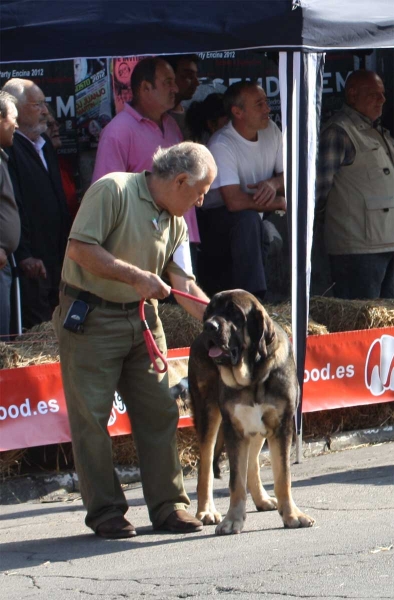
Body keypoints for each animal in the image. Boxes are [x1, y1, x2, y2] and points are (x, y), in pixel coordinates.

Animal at [189, 290, 316, 536]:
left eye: (234, 312)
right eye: (210, 311)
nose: (209, 325)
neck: (253, 374)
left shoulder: (282, 426)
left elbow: (282, 476)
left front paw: (292, 515)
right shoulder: (234, 429)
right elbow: (235, 481)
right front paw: (232, 520)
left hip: (258, 426)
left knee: (253, 461)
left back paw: (262, 499)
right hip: (208, 414)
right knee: (206, 466)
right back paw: (206, 511)